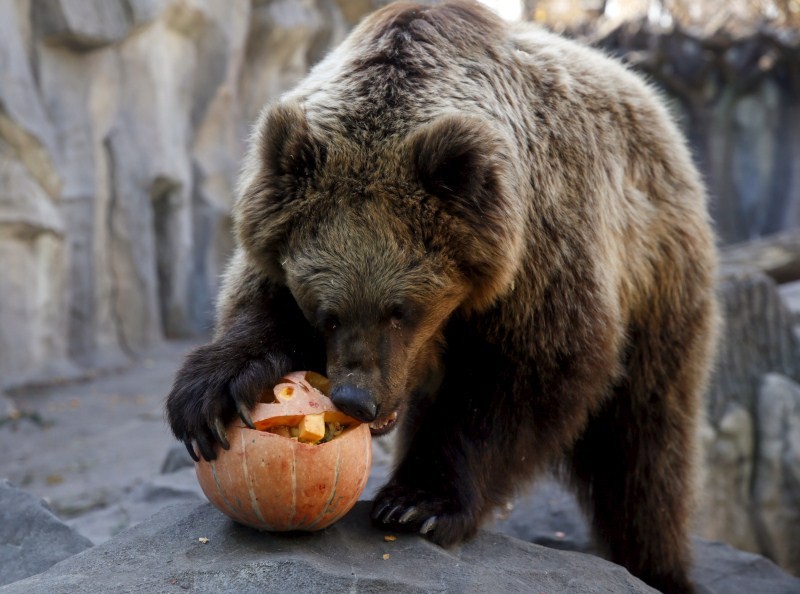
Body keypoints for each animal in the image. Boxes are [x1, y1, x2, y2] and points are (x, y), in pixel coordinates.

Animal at [166, 2, 716, 588]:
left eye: (400, 311)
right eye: (326, 313)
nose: (357, 399)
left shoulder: (544, 252)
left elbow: (526, 378)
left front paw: (419, 502)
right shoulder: (279, 240)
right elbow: (258, 315)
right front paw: (208, 401)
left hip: (660, 277)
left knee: (645, 447)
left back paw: (658, 566)